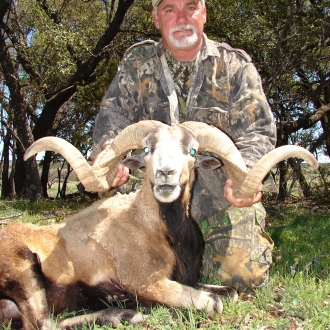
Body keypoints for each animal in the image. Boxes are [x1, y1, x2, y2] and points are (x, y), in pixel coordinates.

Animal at [0, 121, 320, 330]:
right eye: (147, 149)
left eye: (192, 151)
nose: (166, 174)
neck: (161, 234)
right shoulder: (150, 283)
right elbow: (212, 304)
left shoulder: (187, 279)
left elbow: (229, 292)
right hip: (25, 274)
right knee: (43, 324)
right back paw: (124, 314)